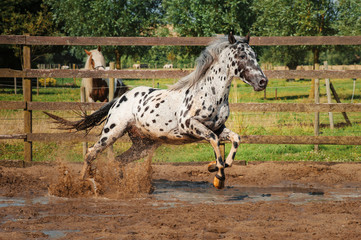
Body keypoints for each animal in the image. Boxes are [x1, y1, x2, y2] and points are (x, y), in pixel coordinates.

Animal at [43, 32, 266, 188]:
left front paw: (215, 167)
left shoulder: (219, 128)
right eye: (241, 56)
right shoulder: (190, 125)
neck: (210, 92)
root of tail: (119, 99)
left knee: (119, 160)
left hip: (143, 145)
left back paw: (120, 185)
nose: (262, 82)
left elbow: (234, 140)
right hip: (112, 132)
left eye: (254, 55)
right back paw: (83, 184)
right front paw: (218, 176)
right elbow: (214, 141)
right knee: (91, 153)